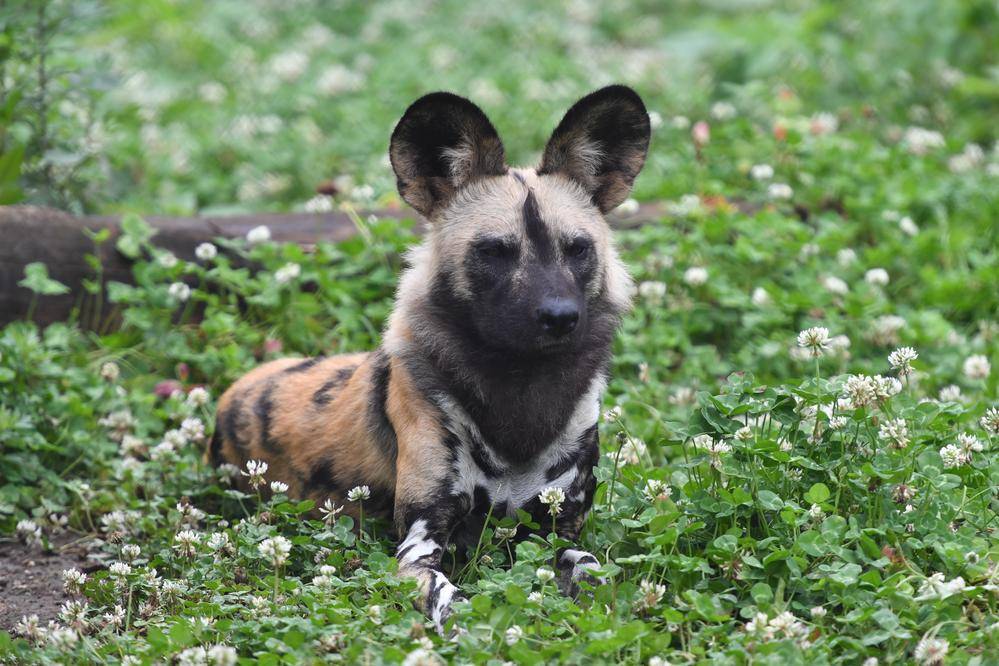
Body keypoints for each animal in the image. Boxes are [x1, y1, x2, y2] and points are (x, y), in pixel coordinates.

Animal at [210, 85, 648, 632]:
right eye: (494, 251)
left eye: (578, 249)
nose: (561, 316)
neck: (519, 391)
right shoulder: (419, 547)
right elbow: (450, 599)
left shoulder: (560, 531)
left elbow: (592, 572)